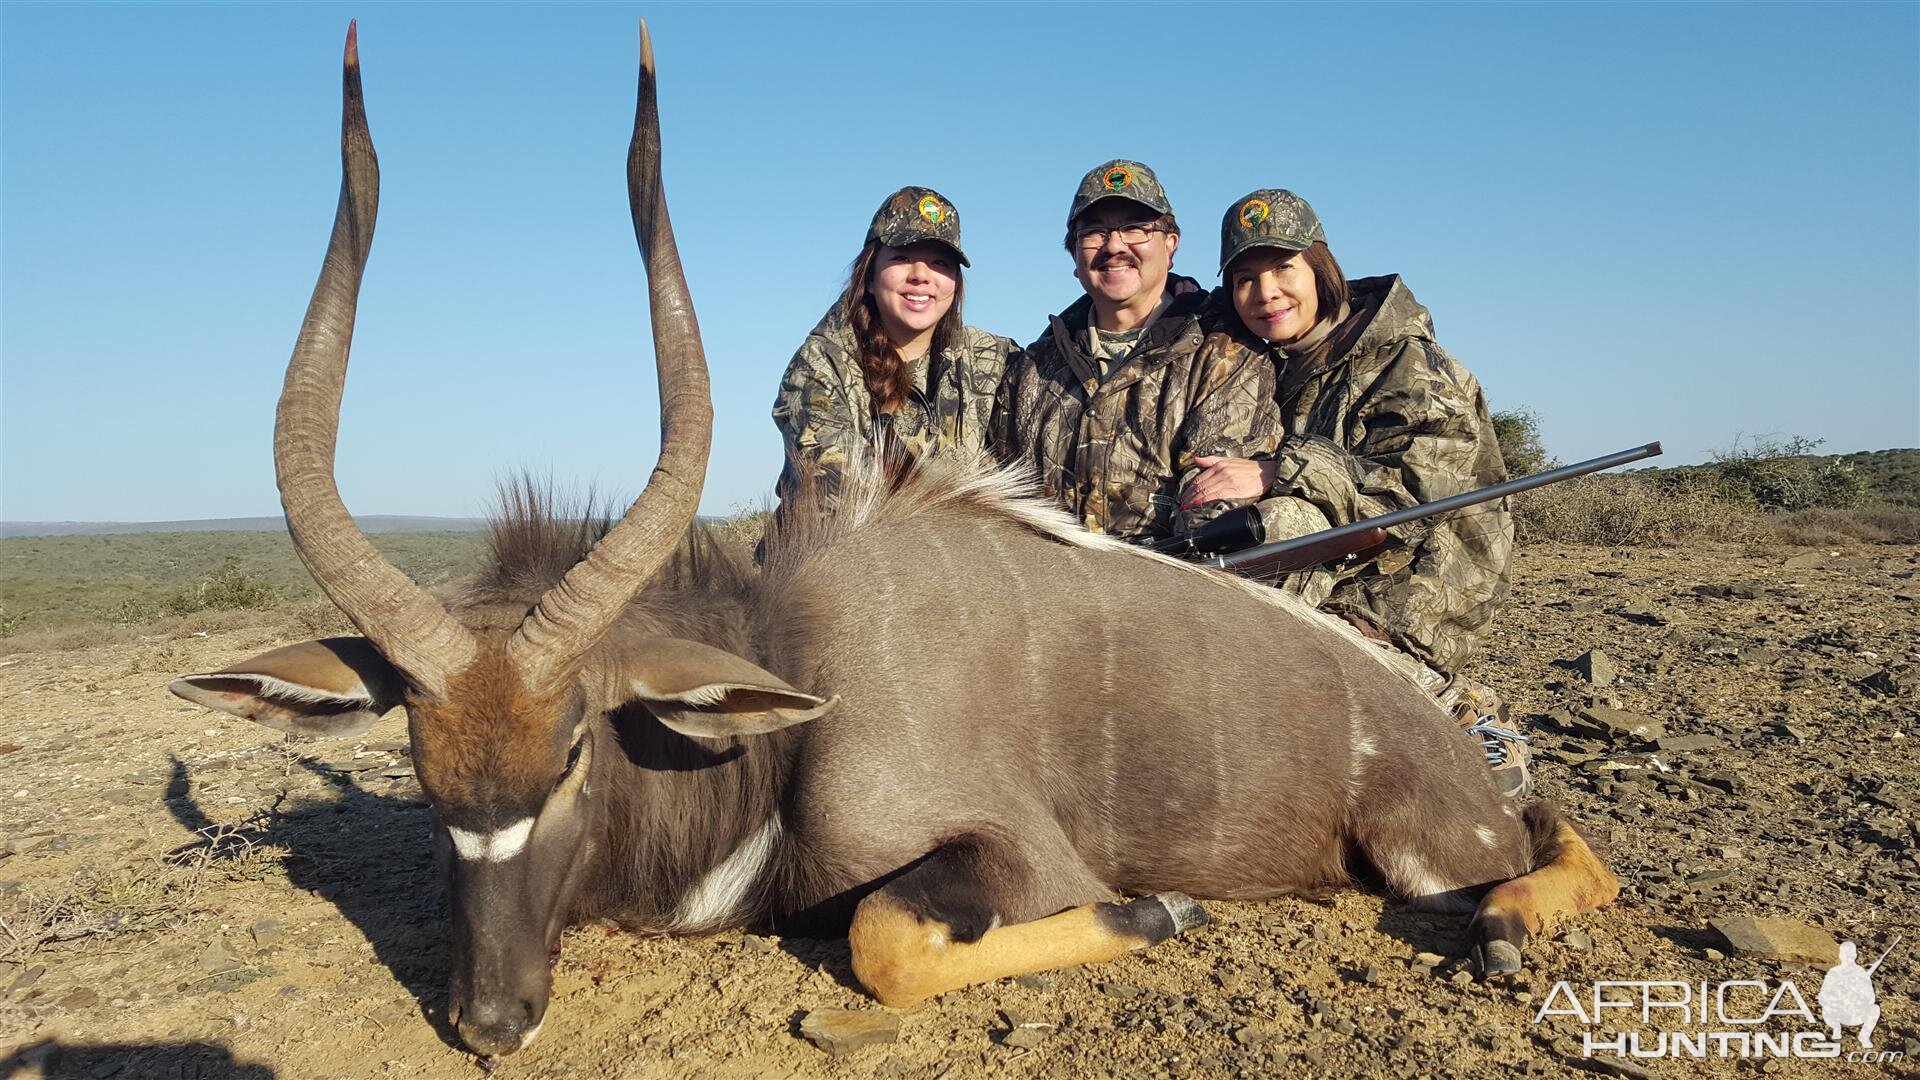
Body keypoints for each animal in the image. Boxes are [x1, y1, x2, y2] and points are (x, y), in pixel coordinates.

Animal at [172, 23, 1620, 1053]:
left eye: (576, 747)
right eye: (421, 768)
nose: (489, 1021)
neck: (796, 682)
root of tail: (1433, 728)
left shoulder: (1012, 858)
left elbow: (882, 939)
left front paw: (1160, 906)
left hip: (1426, 849)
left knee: (1553, 845)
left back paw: (1501, 932)